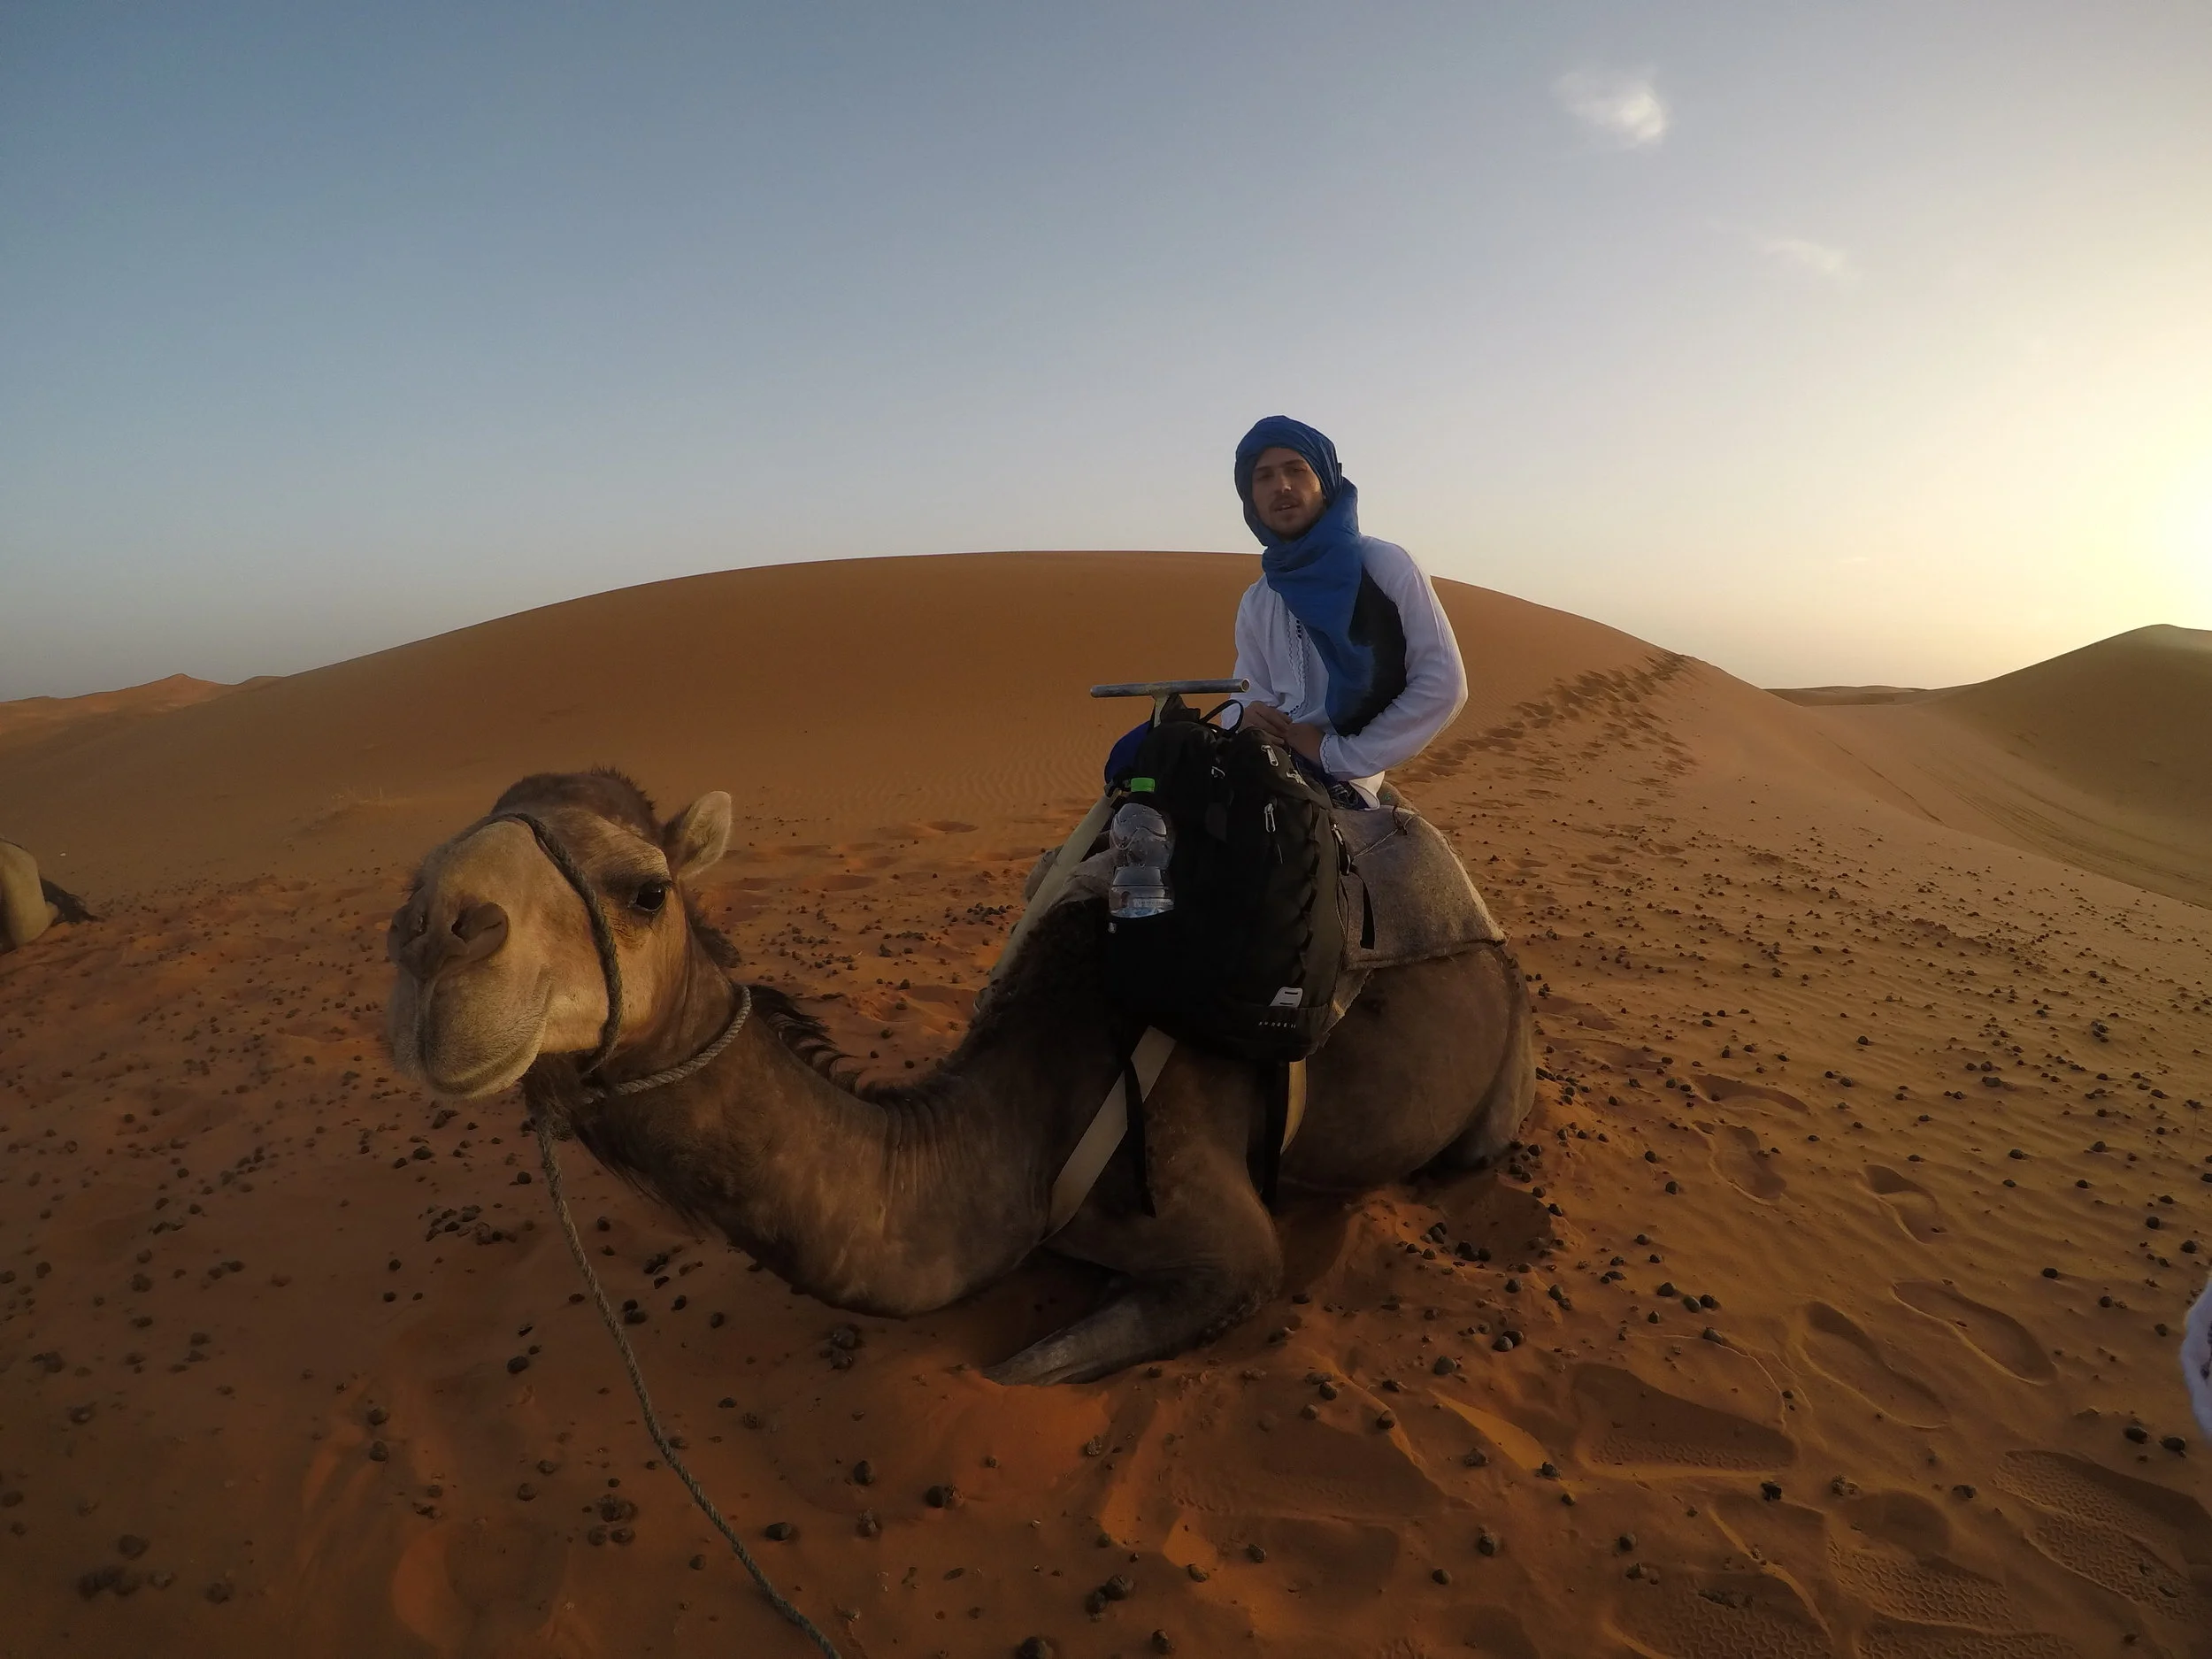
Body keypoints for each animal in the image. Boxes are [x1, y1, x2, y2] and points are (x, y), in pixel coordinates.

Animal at [384, 769, 1533, 1384]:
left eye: (645, 890)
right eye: (416, 875)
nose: (432, 934)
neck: (1015, 1128)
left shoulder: (1231, 1249)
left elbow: (1019, 1367)